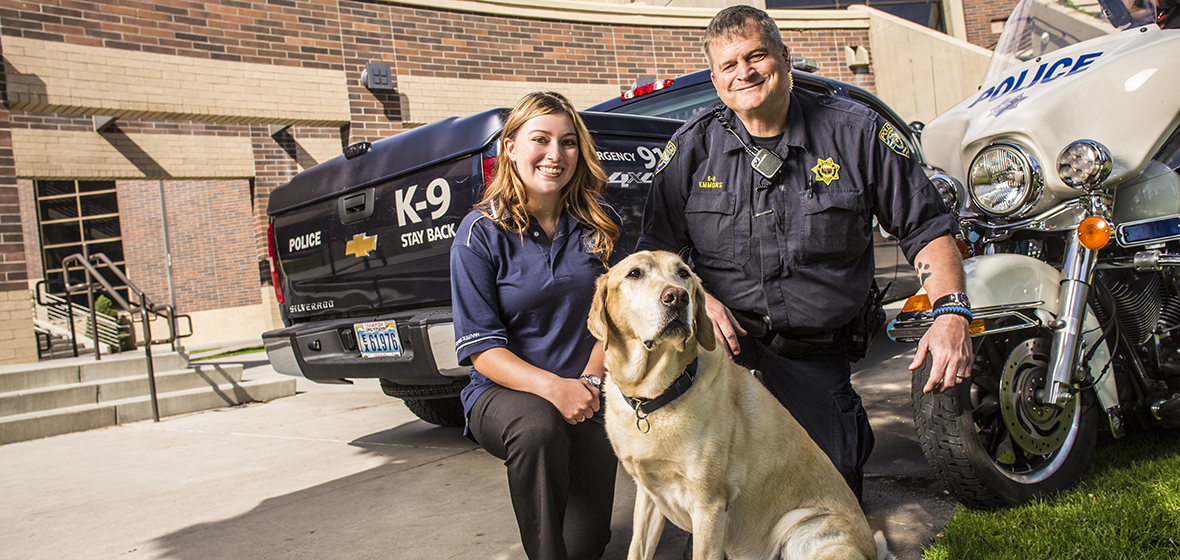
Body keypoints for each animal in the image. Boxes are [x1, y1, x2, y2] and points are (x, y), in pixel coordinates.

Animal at [594, 252, 887, 560]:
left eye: (683, 273)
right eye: (634, 274)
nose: (678, 297)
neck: (654, 396)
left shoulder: (709, 506)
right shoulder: (648, 495)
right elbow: (637, 549)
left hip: (806, 530)